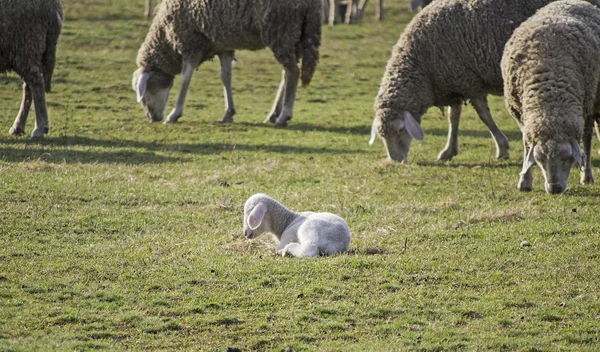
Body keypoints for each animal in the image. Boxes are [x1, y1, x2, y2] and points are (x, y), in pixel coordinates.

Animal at [1, 0, 63, 139]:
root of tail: (54, 6)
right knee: (29, 86)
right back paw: (18, 128)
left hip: (26, 43)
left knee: (36, 82)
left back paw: (39, 128)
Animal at [133, 0, 322, 126]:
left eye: (145, 91)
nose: (152, 118)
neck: (165, 38)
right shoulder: (222, 45)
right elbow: (226, 77)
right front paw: (229, 113)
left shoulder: (190, 41)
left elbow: (186, 78)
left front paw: (174, 114)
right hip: (295, 34)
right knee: (287, 73)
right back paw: (274, 114)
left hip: (281, 29)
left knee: (293, 72)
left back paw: (284, 116)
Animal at [370, 0, 600, 164]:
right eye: (382, 136)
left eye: (401, 130)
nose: (396, 160)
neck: (422, 63)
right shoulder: (456, 81)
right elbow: (454, 118)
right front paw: (449, 150)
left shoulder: (470, 81)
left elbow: (483, 116)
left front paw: (502, 147)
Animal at [502, 0, 600, 195]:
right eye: (540, 159)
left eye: (568, 158)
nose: (555, 189)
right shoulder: (520, 114)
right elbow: (526, 146)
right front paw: (524, 181)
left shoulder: (586, 107)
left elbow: (586, 143)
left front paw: (585, 174)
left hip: (595, 101)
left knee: (589, 138)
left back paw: (586, 175)